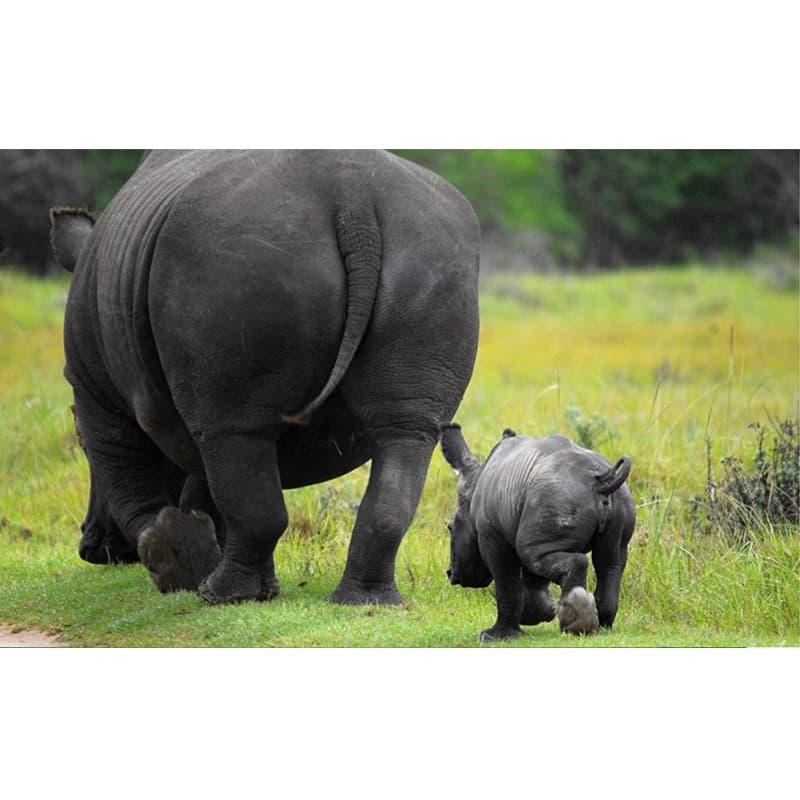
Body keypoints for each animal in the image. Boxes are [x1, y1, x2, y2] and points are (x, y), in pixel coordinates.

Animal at [51, 150, 479, 607]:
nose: (91, 549)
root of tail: (354, 200)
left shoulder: (91, 386)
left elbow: (124, 468)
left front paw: (172, 559)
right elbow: (205, 485)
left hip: (232, 257)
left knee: (235, 431)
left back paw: (220, 595)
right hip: (430, 253)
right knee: (406, 431)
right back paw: (364, 602)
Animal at [440, 424, 636, 642]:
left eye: (450, 528)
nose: (450, 574)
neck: (474, 486)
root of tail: (602, 481)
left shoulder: (491, 534)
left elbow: (506, 583)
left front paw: (495, 636)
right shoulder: (529, 529)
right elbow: (533, 578)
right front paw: (537, 615)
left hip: (557, 495)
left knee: (537, 556)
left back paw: (575, 627)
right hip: (617, 499)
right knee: (611, 561)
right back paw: (599, 626)